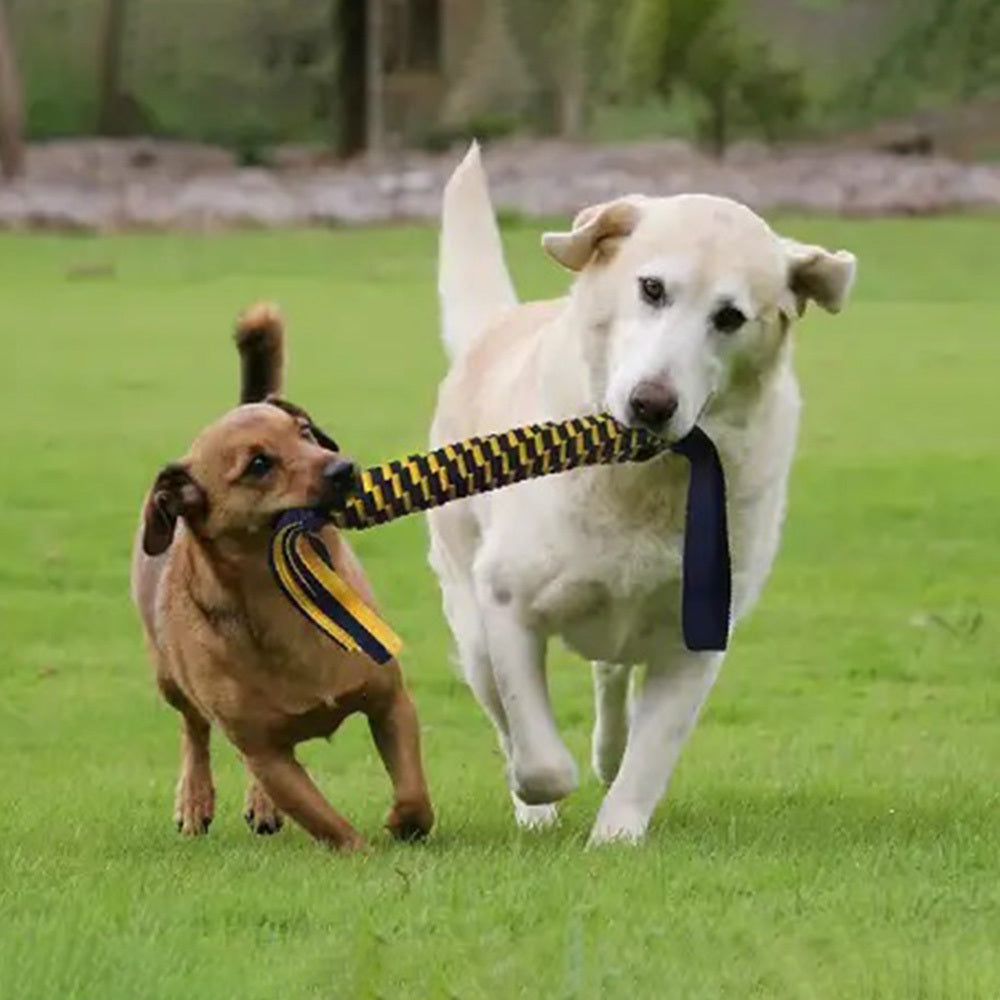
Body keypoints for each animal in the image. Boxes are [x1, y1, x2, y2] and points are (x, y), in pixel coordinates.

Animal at [131, 300, 432, 848]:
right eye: (258, 464)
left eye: (307, 434)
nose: (344, 468)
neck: (288, 597)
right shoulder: (263, 751)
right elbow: (326, 822)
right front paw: (363, 853)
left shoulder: (391, 702)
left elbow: (413, 788)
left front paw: (405, 822)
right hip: (169, 678)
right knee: (193, 731)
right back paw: (195, 800)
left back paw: (260, 807)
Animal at [426, 143, 856, 844]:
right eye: (651, 288)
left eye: (730, 317)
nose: (652, 403)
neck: (646, 481)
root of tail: (498, 324)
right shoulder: (506, 605)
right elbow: (540, 756)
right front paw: (538, 793)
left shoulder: (699, 636)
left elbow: (651, 755)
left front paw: (616, 836)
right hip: (468, 618)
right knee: (505, 706)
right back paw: (534, 808)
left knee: (611, 676)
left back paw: (609, 750)